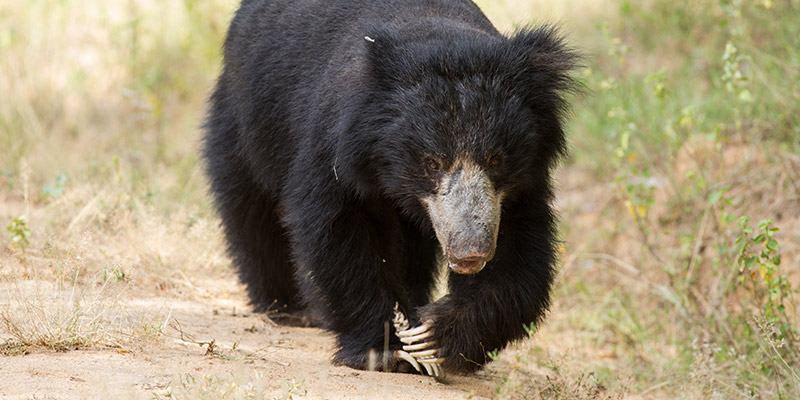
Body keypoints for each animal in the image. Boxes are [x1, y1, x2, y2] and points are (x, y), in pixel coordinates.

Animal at [205, 0, 580, 376]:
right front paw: (385, 350)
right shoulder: (339, 146)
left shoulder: (518, 187)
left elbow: (518, 255)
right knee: (252, 209)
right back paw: (287, 306)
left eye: (495, 159)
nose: (470, 252)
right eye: (432, 163)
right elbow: (342, 233)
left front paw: (434, 337)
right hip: (247, 120)